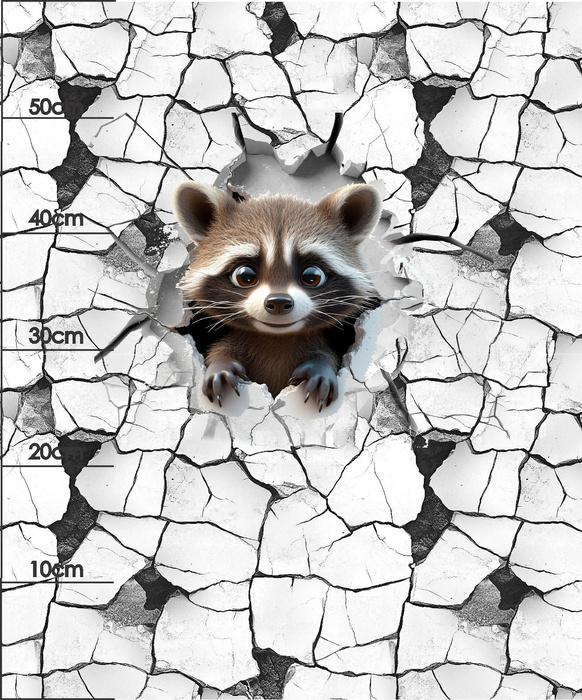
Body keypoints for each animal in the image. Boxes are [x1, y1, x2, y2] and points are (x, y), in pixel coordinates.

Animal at [173, 181, 382, 411]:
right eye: (245, 276)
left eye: (312, 277)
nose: (279, 302)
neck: (276, 337)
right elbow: (223, 349)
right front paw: (221, 364)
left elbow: (325, 355)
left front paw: (321, 368)